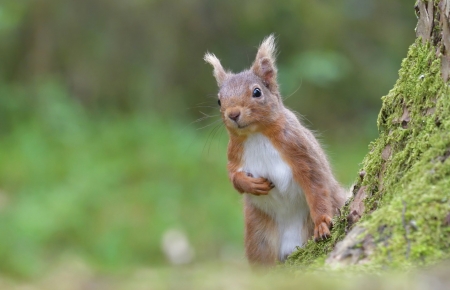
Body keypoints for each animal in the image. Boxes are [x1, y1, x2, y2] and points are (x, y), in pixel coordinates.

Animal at [206, 35, 346, 266]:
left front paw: (322, 223)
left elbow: (316, 183)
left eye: (257, 92)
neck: (256, 134)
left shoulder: (299, 149)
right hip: (259, 234)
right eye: (219, 100)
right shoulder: (234, 154)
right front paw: (250, 184)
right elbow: (233, 177)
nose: (233, 114)